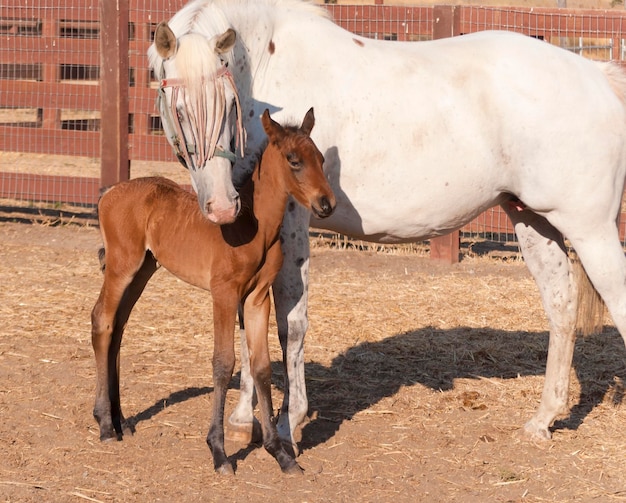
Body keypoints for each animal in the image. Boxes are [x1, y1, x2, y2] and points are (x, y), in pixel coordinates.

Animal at [149, 0, 624, 456]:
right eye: (178, 109)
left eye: (226, 104)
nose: (221, 205)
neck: (268, 65)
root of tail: (597, 76)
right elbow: (251, 321)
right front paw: (243, 418)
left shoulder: (293, 221)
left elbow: (290, 321)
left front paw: (288, 421)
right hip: (532, 219)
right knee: (561, 305)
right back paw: (542, 419)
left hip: (591, 230)